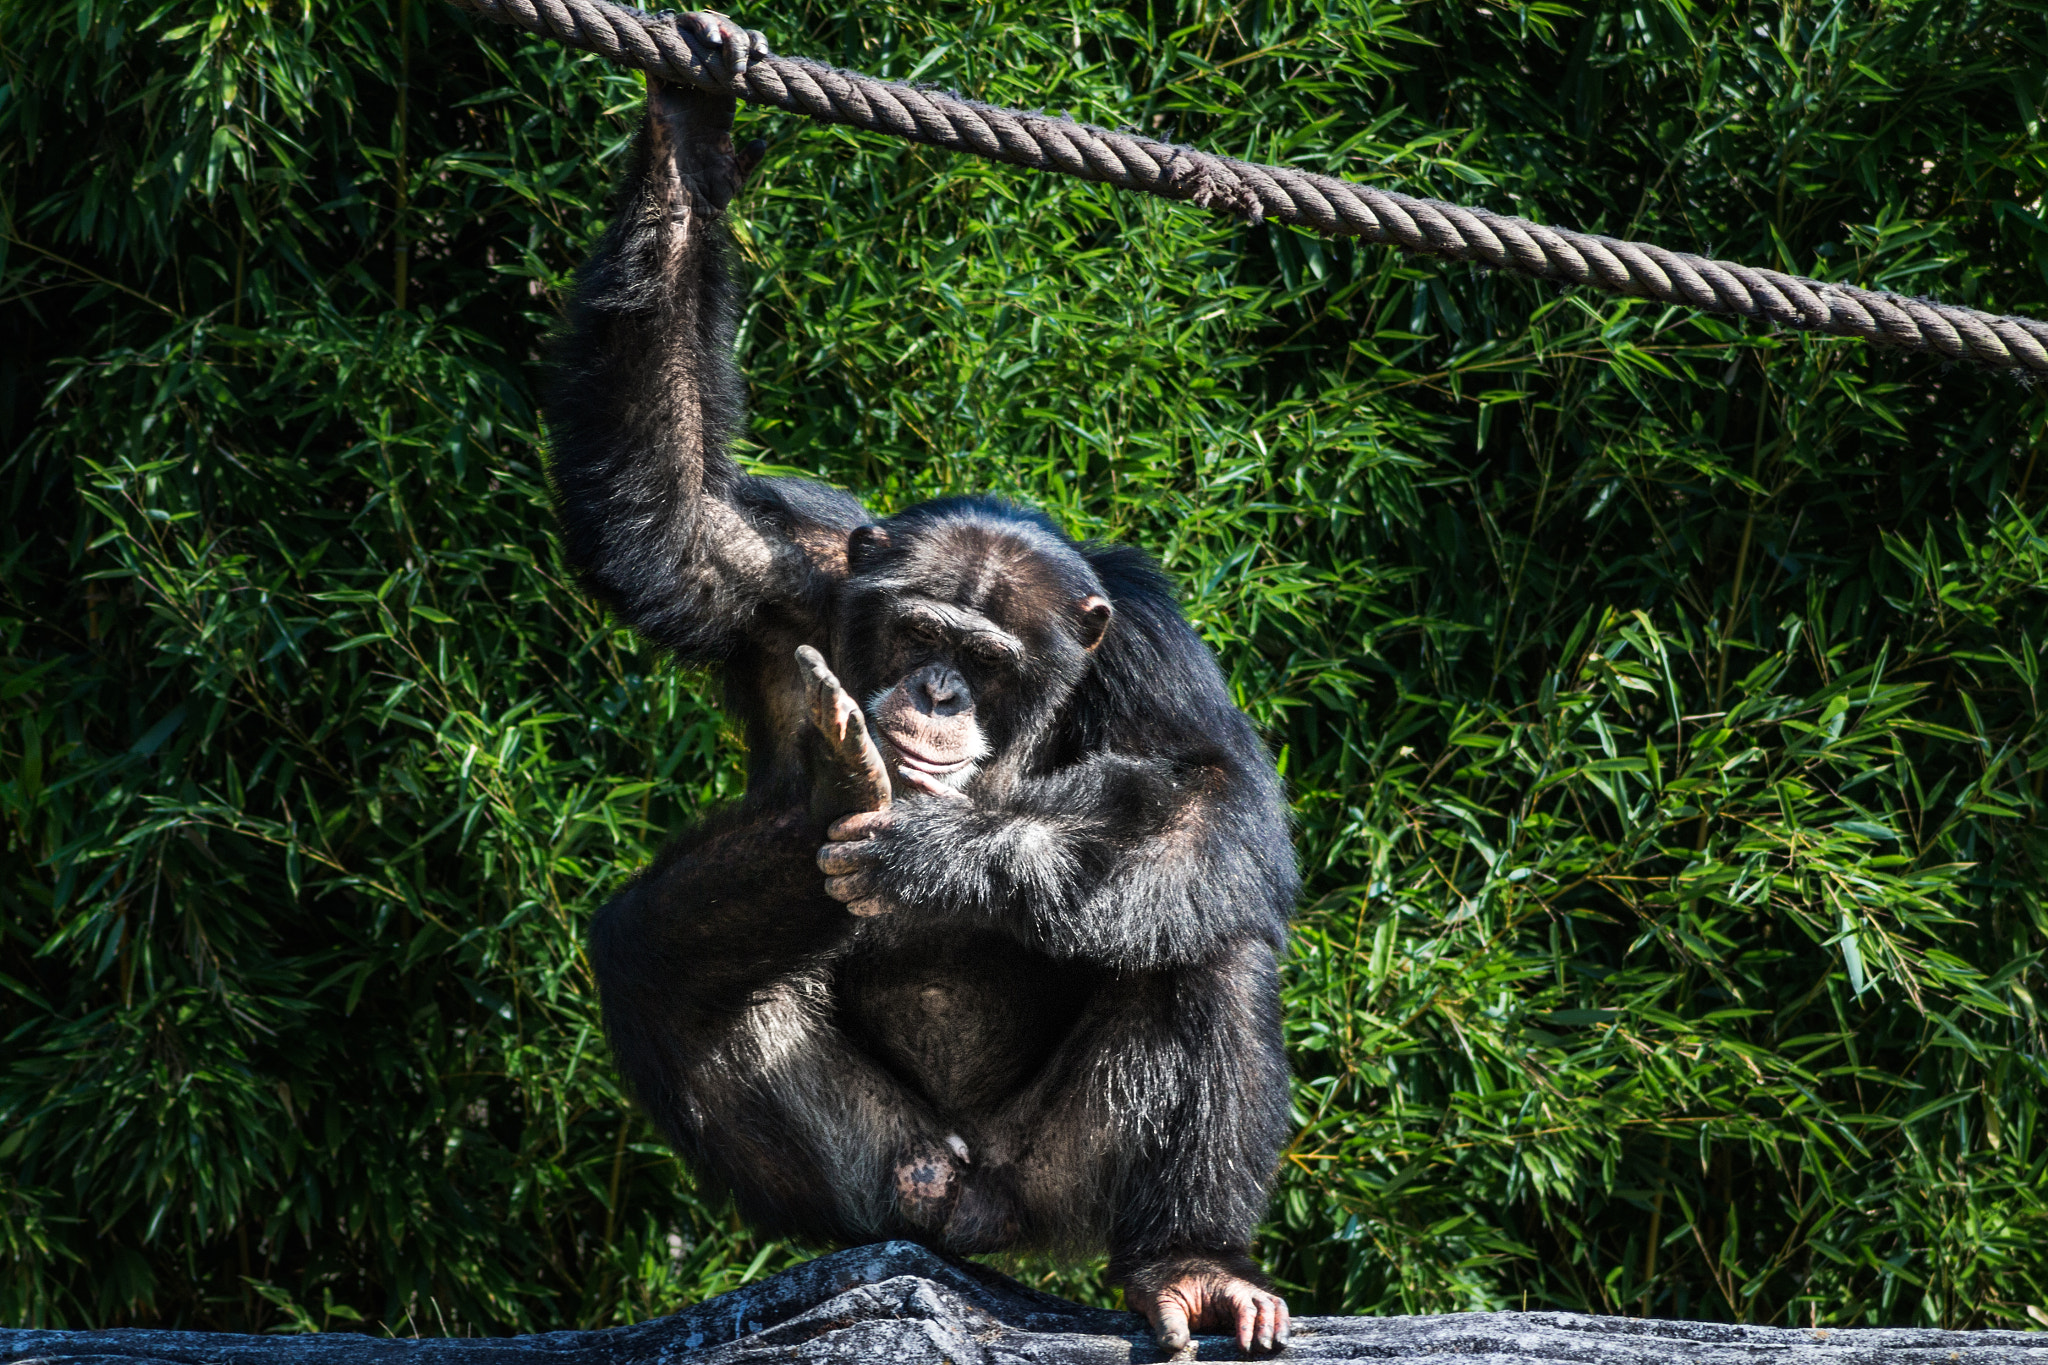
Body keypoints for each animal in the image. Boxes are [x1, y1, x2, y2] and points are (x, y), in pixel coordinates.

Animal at [544, 14, 1298, 1353]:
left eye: (988, 664)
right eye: (910, 637)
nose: (938, 696)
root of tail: (953, 1209)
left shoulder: (1151, 639)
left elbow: (1214, 791)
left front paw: (945, 858)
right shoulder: (792, 568)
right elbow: (671, 517)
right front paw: (688, 125)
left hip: (1048, 1181)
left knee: (1206, 932)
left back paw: (1192, 1262)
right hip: (858, 1166)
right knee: (645, 950)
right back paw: (818, 816)